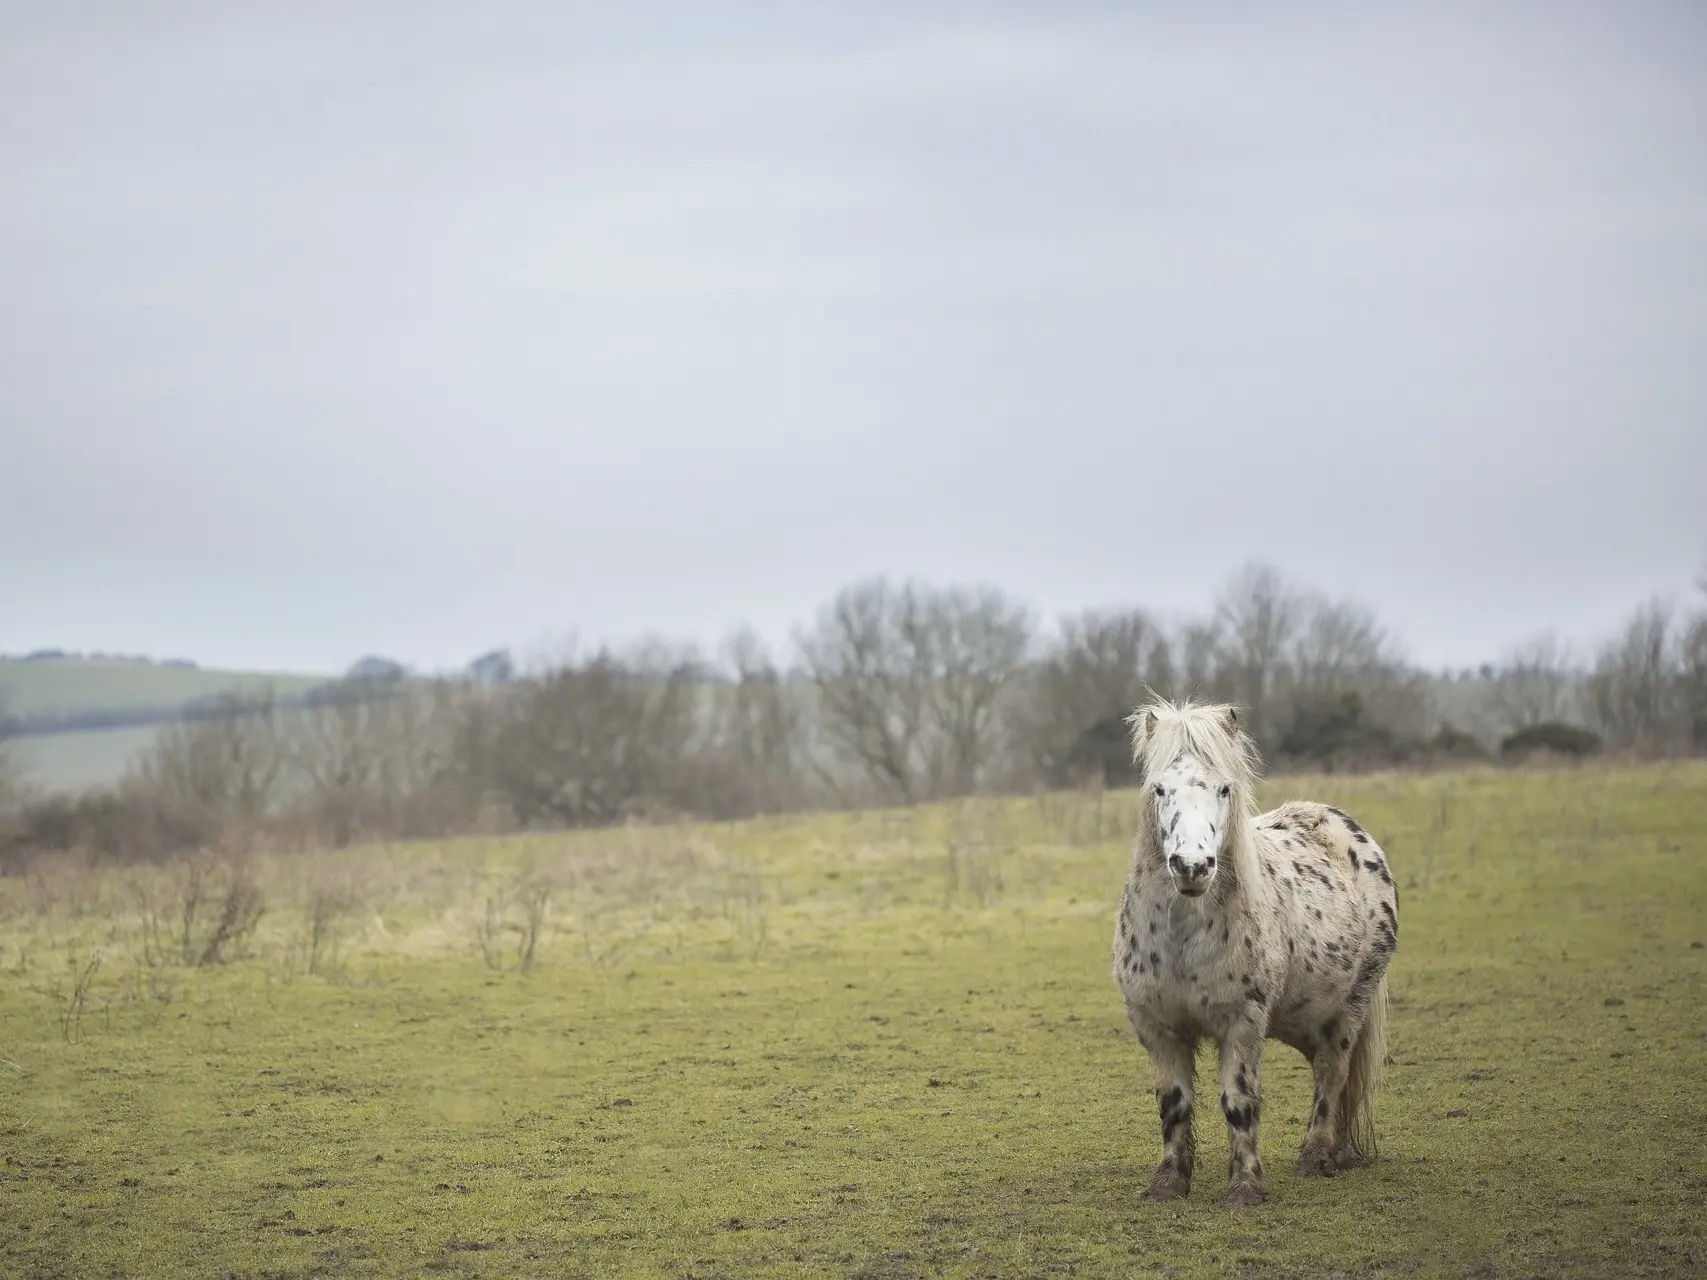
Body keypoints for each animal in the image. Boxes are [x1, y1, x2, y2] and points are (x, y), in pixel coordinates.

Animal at [1106, 703, 1399, 1215]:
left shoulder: (1242, 1023)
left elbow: (1239, 1101)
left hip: (1349, 1008)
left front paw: (1244, 1188)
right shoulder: (1157, 1026)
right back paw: (1340, 1152)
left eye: (1224, 788)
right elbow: (1173, 1103)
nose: (1192, 866)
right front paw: (1168, 1182)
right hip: (1304, 1016)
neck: (1183, 939)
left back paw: (1316, 1156)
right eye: (1159, 788)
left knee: (1333, 1071)